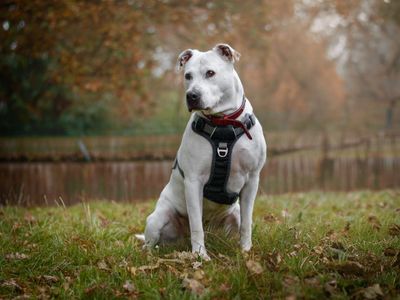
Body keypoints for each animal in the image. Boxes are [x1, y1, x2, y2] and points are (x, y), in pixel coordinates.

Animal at [142, 42, 268, 260]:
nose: (192, 95)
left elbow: (247, 222)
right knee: (150, 242)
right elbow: (196, 224)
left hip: (233, 214)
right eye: (188, 76)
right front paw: (201, 255)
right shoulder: (193, 182)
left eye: (210, 73)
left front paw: (245, 251)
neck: (224, 123)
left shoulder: (252, 179)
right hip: (158, 218)